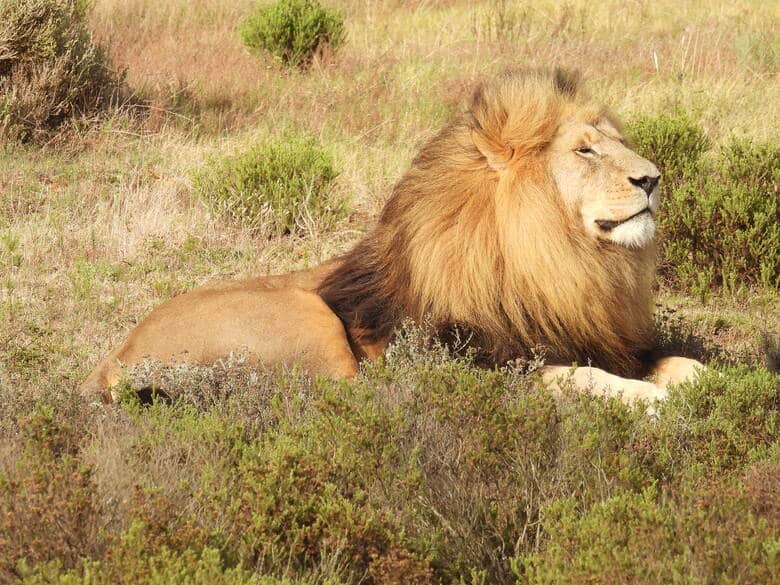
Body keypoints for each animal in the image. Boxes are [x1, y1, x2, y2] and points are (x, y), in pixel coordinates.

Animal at [80, 69, 708, 402]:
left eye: (617, 142)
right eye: (585, 150)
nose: (653, 177)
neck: (567, 262)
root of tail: (112, 356)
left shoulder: (607, 338)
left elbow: (682, 364)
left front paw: (707, 384)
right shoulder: (476, 365)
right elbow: (583, 379)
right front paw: (655, 402)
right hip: (310, 319)